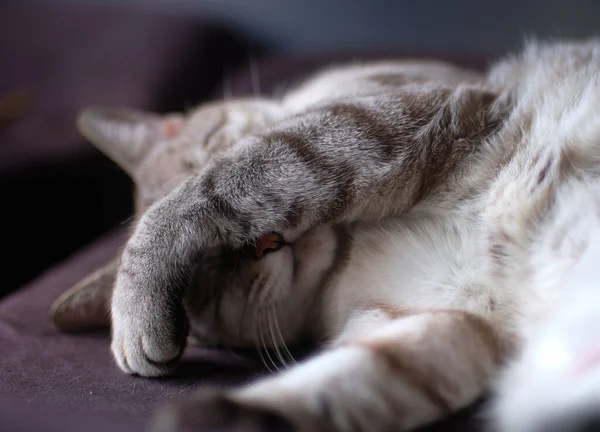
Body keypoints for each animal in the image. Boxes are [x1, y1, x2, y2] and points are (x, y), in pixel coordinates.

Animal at [49, 38, 600, 430]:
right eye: (209, 278)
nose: (262, 239)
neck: (345, 262)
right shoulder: (441, 320)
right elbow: (340, 386)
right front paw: (218, 418)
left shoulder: (399, 113)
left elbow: (210, 191)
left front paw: (133, 320)